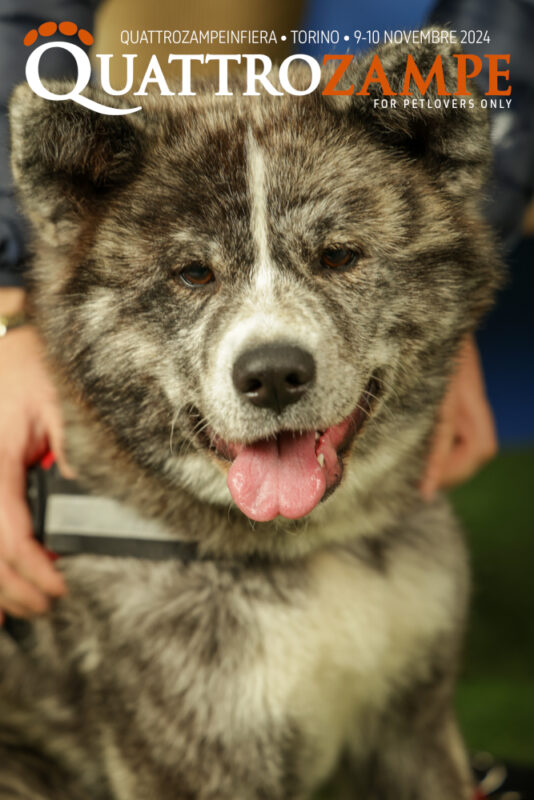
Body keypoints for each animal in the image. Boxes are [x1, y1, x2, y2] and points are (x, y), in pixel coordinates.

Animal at [0, 37, 504, 800]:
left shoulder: (414, 730)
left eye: (338, 256)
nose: (271, 375)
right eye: (192, 273)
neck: (303, 549)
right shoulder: (195, 765)